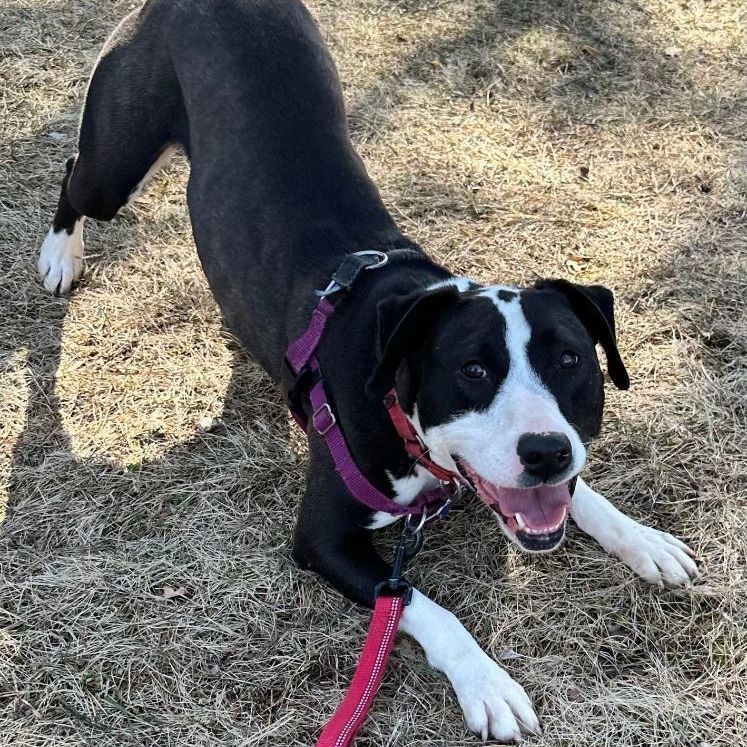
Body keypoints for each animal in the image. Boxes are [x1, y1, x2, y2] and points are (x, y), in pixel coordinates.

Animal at [36, 0, 700, 736]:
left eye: (569, 360)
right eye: (472, 370)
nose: (546, 451)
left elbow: (578, 495)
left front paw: (640, 538)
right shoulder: (324, 539)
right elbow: (420, 602)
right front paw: (487, 682)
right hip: (113, 164)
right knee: (74, 173)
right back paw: (59, 255)